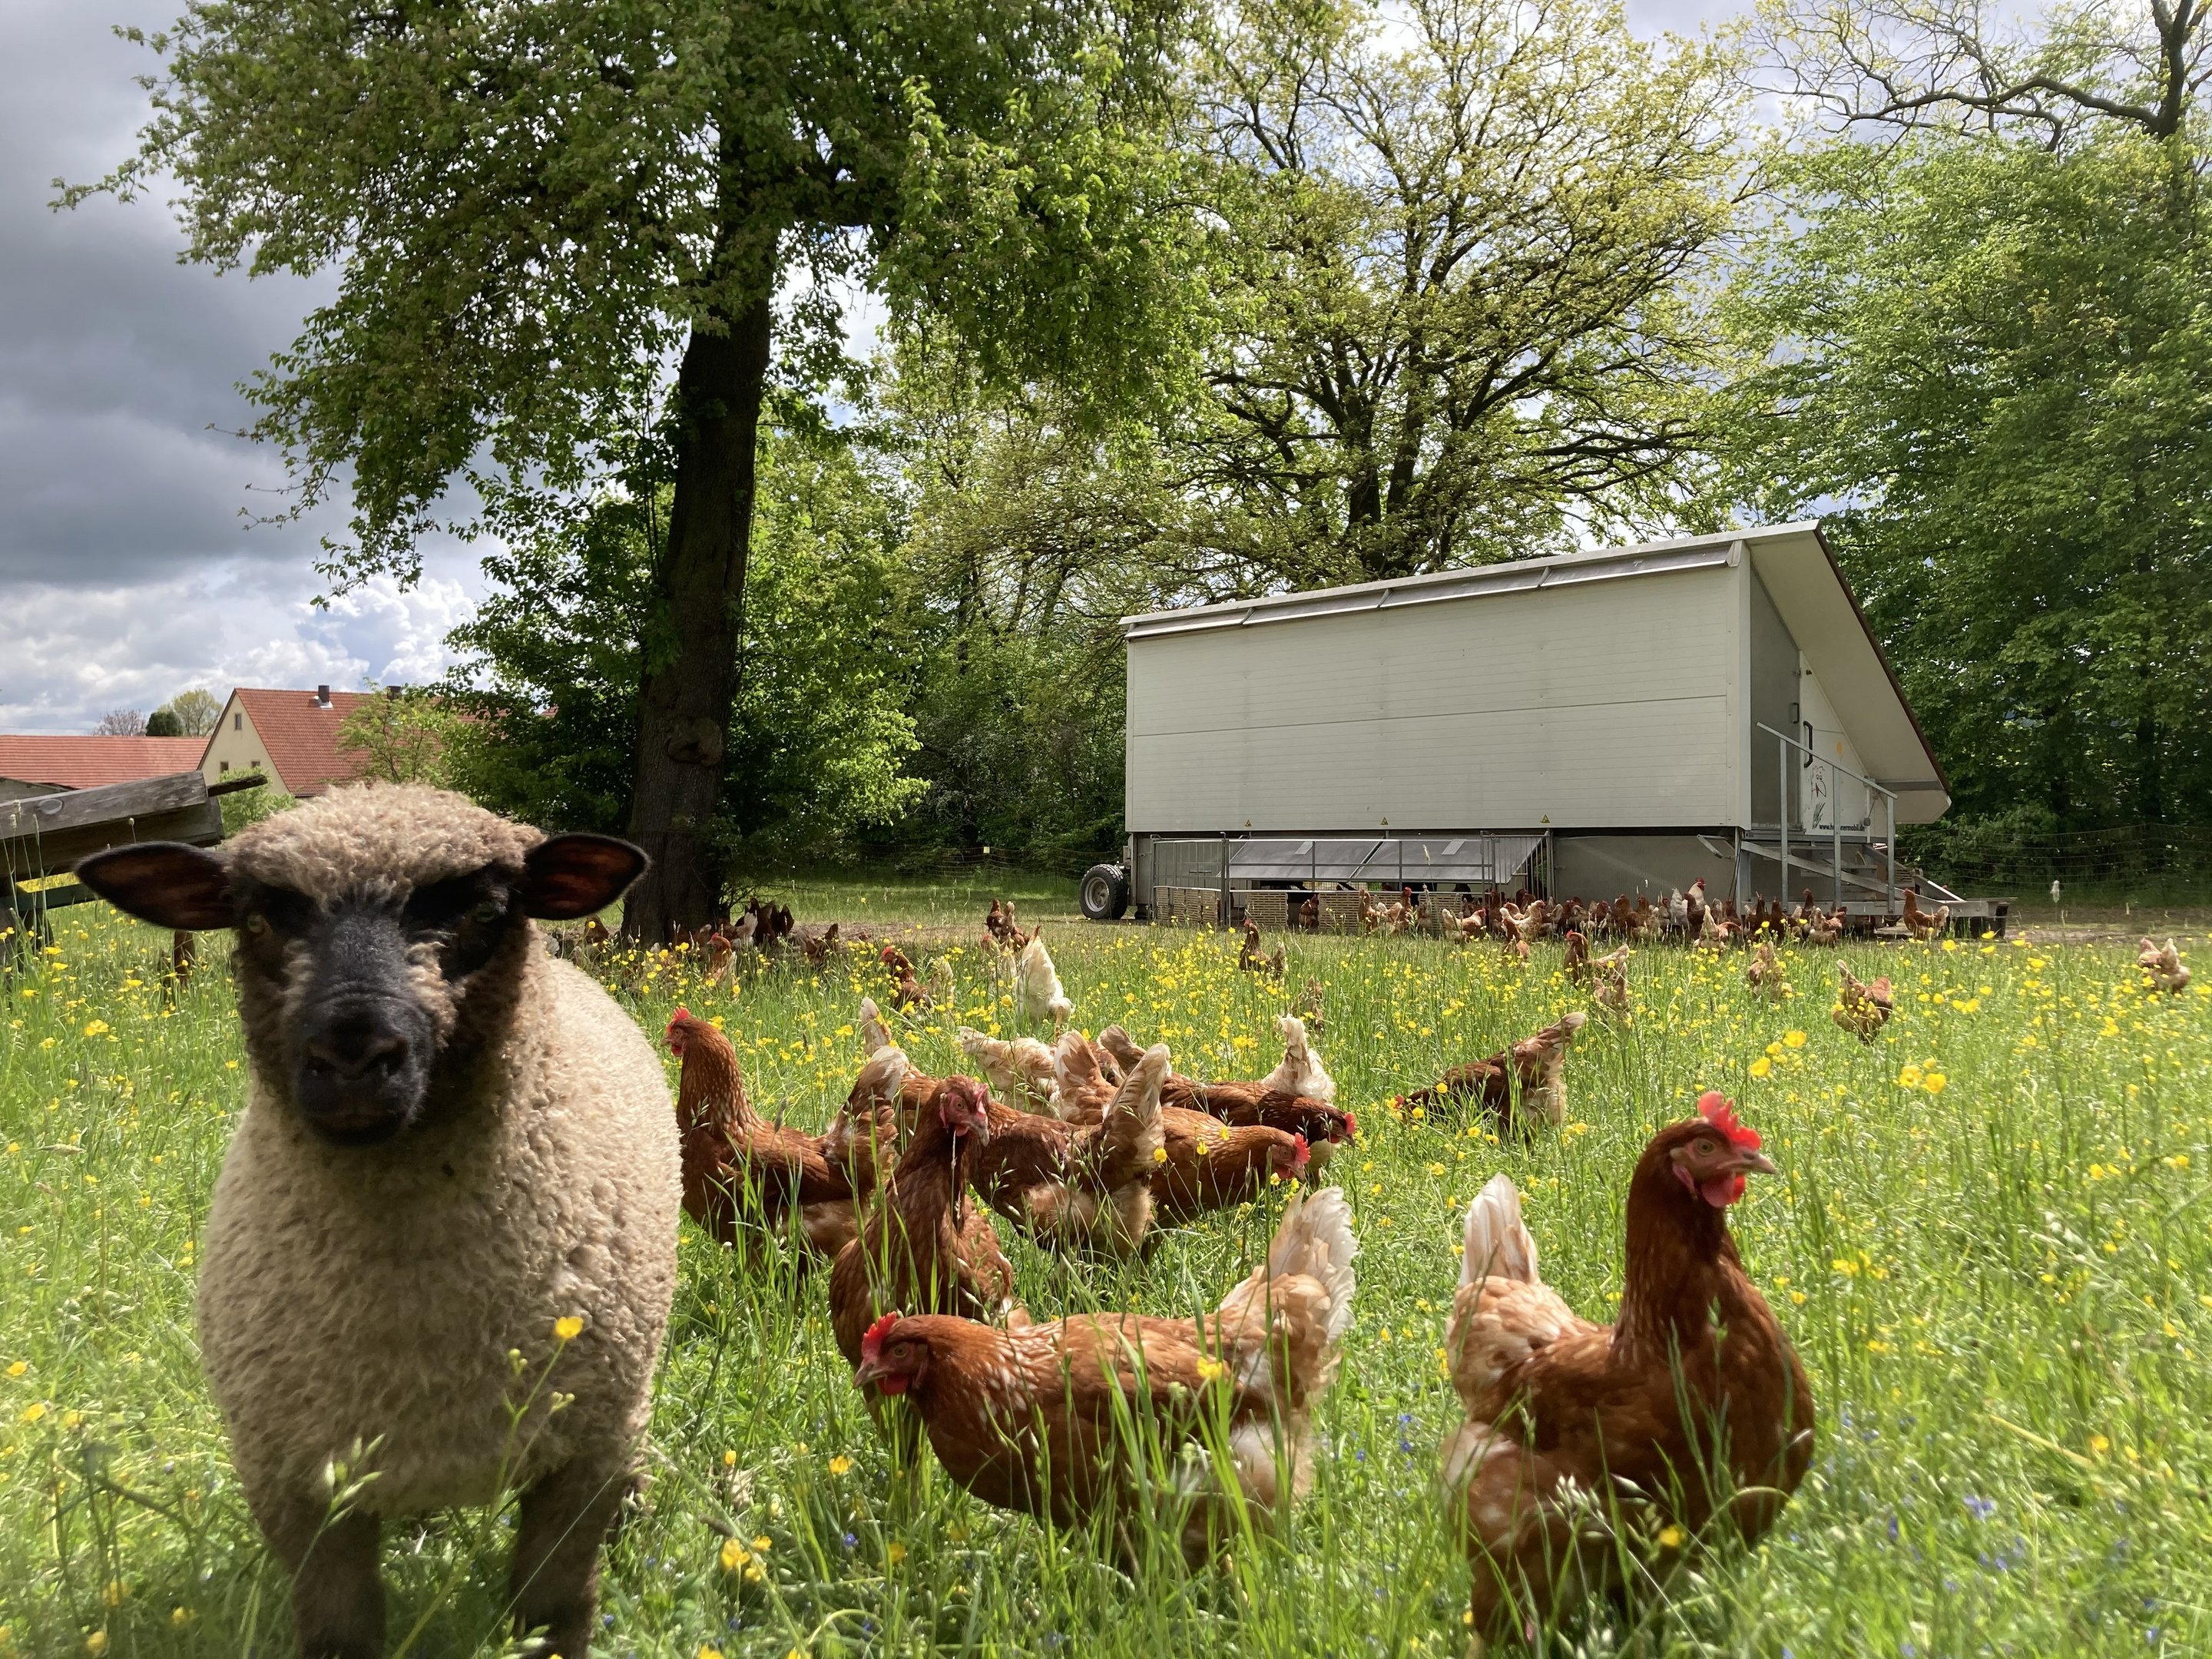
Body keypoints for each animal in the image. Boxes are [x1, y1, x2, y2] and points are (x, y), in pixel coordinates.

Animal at [78, 783, 677, 1659]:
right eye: (256, 920)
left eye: (485, 910)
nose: (353, 1056)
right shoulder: (294, 1479)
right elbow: (340, 1629)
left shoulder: (582, 1455)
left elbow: (552, 1611)